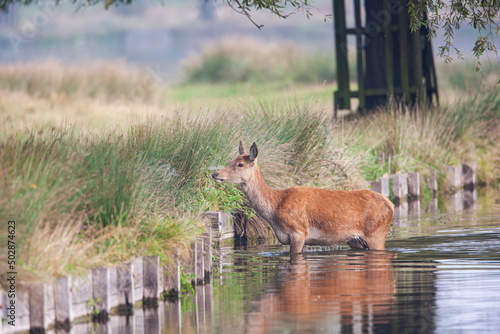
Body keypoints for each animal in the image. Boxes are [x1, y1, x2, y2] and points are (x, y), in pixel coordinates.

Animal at [211, 142, 394, 253]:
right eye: (230, 161)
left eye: (240, 164)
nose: (215, 173)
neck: (274, 207)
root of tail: (390, 204)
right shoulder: (302, 237)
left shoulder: (298, 230)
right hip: (356, 240)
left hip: (377, 233)